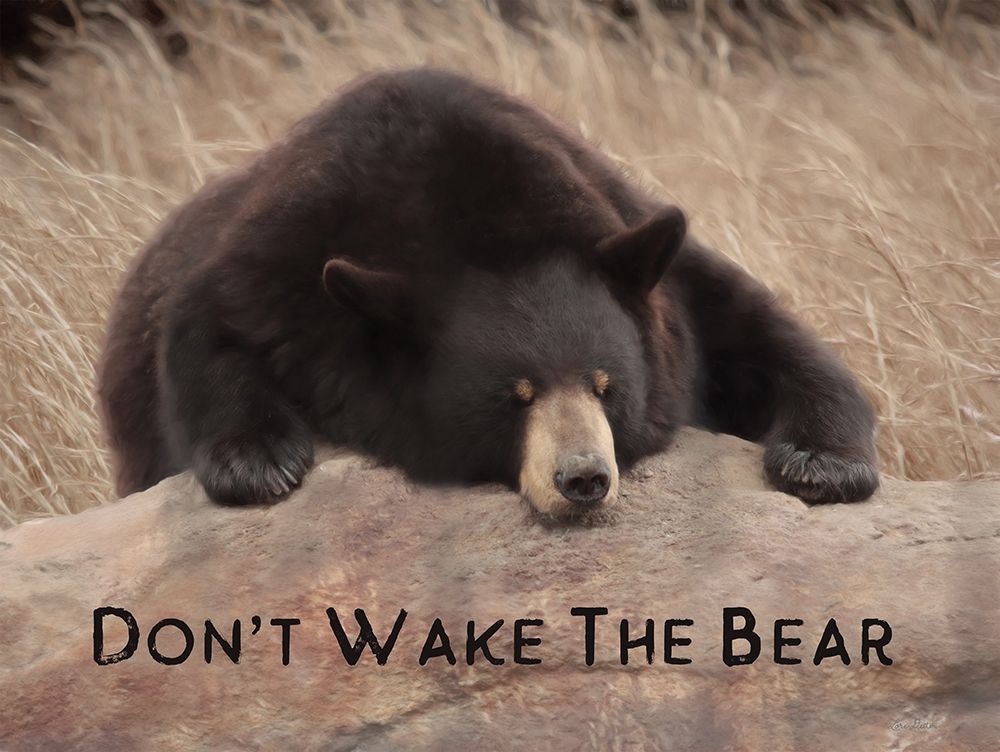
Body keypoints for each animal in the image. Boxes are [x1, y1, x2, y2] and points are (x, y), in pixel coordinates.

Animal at [97, 67, 879, 516]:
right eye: (516, 396)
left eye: (607, 387)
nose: (584, 479)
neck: (482, 223)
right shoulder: (286, 250)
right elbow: (211, 325)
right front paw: (259, 463)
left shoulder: (644, 251)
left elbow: (755, 330)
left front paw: (824, 464)